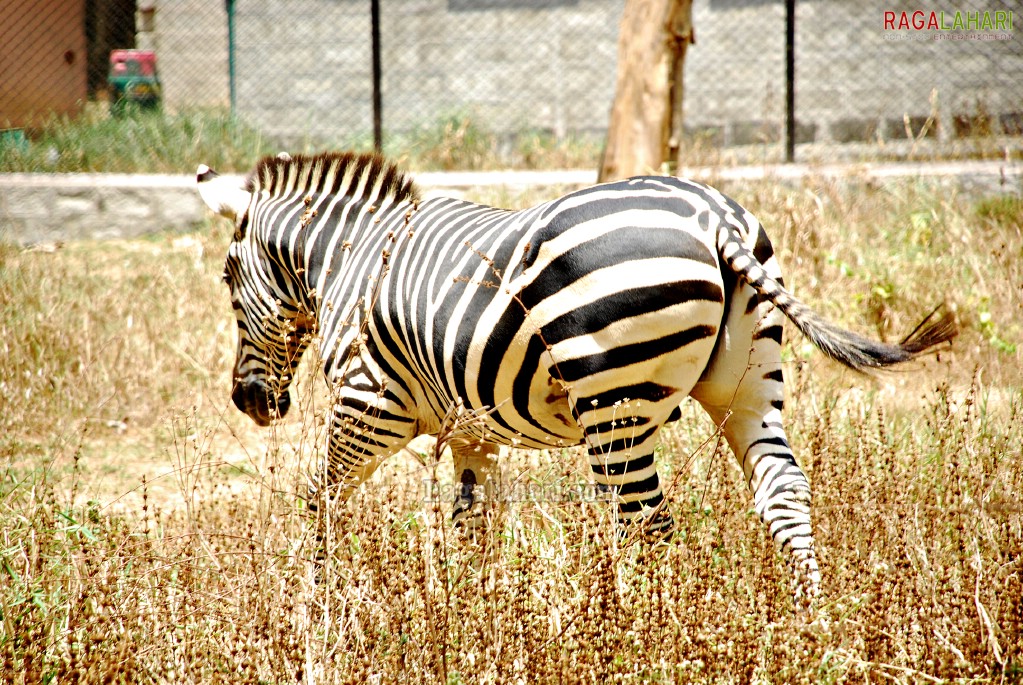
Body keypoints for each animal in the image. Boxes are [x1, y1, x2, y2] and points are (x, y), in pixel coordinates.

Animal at [195, 151, 953, 605]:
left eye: (228, 279)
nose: (247, 401)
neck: (352, 260)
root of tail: (715, 218)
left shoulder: (368, 403)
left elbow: (319, 499)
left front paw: (314, 601)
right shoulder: (472, 430)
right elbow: (472, 521)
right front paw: (476, 614)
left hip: (613, 403)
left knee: (644, 520)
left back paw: (642, 631)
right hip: (749, 384)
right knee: (782, 489)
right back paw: (808, 616)